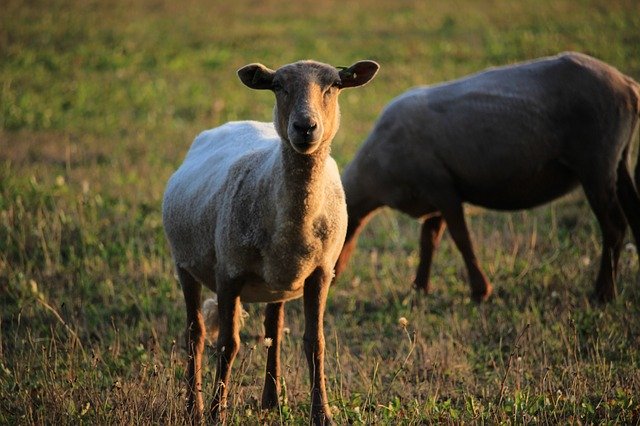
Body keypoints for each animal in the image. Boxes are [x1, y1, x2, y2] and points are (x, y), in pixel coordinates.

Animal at [162, 58, 378, 424]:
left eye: (334, 85)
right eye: (278, 86)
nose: (305, 127)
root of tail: (233, 123)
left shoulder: (321, 273)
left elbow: (315, 342)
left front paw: (322, 414)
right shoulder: (228, 273)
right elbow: (228, 344)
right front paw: (217, 413)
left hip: (276, 283)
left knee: (272, 332)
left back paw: (271, 401)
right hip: (185, 265)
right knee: (196, 334)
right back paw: (195, 406)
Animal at [332, 50, 636, 302]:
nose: (328, 281)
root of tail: (629, 86)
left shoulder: (441, 187)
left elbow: (460, 238)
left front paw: (480, 291)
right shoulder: (434, 191)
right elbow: (429, 239)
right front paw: (419, 288)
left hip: (596, 161)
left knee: (614, 226)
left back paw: (603, 293)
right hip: (619, 160)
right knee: (633, 212)